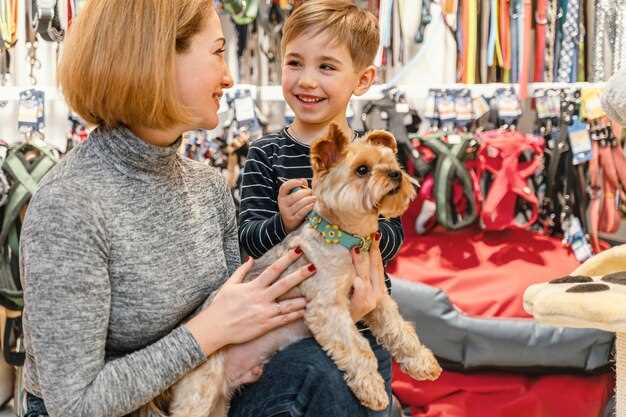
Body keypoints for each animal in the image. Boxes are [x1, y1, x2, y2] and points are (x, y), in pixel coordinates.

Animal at [153, 123, 442, 416]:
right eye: (362, 169)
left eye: (392, 162)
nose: (396, 174)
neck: (345, 238)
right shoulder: (326, 309)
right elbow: (358, 349)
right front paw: (372, 388)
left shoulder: (378, 299)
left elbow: (400, 330)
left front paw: (422, 363)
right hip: (199, 392)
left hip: (219, 403)